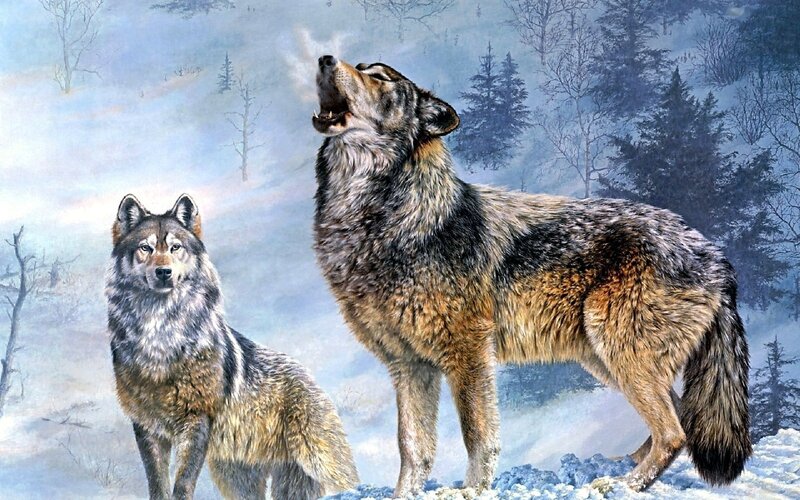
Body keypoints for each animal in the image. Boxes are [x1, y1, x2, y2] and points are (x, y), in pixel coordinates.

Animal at [105, 193, 359, 499]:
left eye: (176, 247)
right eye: (146, 248)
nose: (163, 272)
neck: (161, 336)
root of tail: (309, 377)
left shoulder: (196, 421)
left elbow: (183, 483)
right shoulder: (147, 426)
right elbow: (157, 484)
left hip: (318, 464)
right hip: (235, 477)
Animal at [311, 55, 751, 495]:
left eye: (379, 78)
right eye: (361, 66)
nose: (325, 59)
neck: (391, 221)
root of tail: (716, 255)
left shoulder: (469, 353)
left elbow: (477, 436)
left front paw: (471, 491)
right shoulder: (408, 365)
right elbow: (412, 449)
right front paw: (406, 496)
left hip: (617, 350)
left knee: (673, 431)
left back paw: (621, 484)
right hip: (605, 359)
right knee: (678, 418)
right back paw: (626, 465)